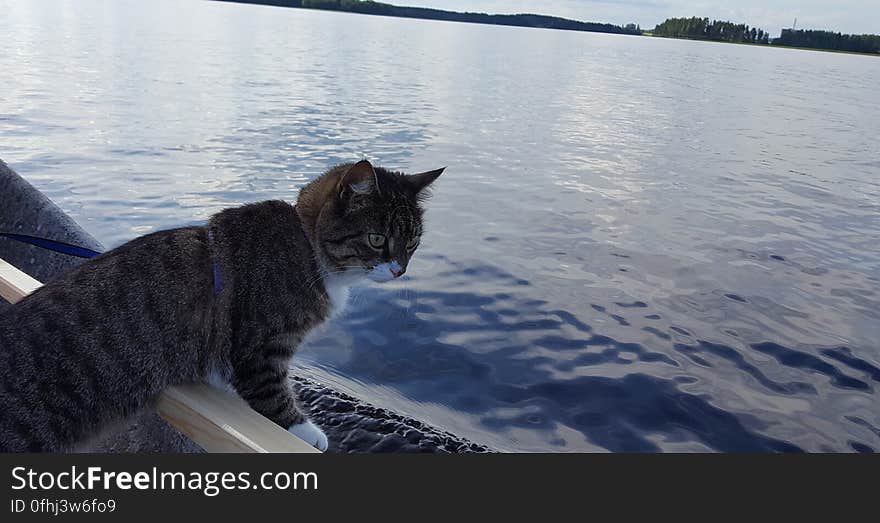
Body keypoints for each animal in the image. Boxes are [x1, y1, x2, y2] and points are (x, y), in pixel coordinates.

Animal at [0, 162, 440, 452]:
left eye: (413, 241)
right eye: (377, 239)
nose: (400, 269)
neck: (307, 246)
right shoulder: (260, 347)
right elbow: (270, 392)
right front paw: (305, 430)